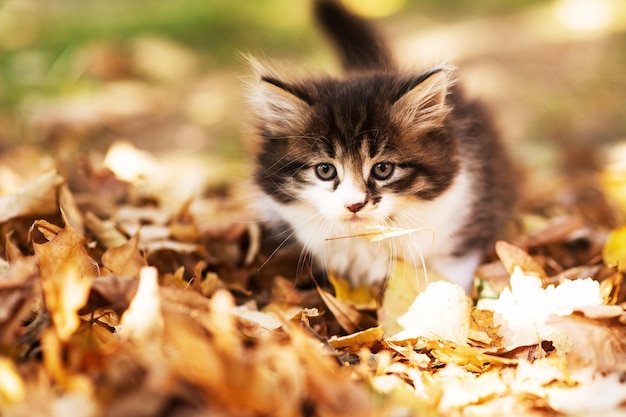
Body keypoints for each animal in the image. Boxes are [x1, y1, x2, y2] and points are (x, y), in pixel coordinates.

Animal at [246, 0, 516, 290]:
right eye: (325, 170)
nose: (354, 205)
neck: (369, 237)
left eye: (383, 169)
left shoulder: (461, 236)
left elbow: (446, 284)